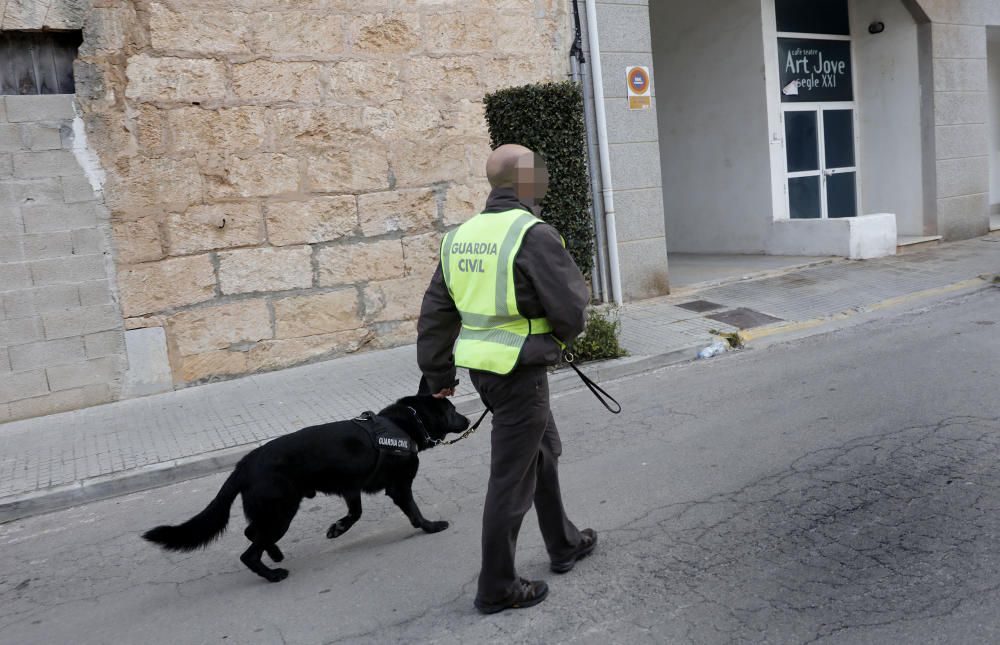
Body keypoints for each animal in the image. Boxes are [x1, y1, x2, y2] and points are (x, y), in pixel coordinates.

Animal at [142, 388, 468, 584]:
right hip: (281, 512)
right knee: (249, 551)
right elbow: (414, 512)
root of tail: (245, 464)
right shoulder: (399, 487)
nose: (466, 420)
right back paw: (272, 573)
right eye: (453, 410)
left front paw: (338, 528)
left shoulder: (351, 489)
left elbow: (355, 513)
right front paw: (431, 526)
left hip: (273, 512)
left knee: (252, 532)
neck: (404, 424)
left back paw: (274, 554)